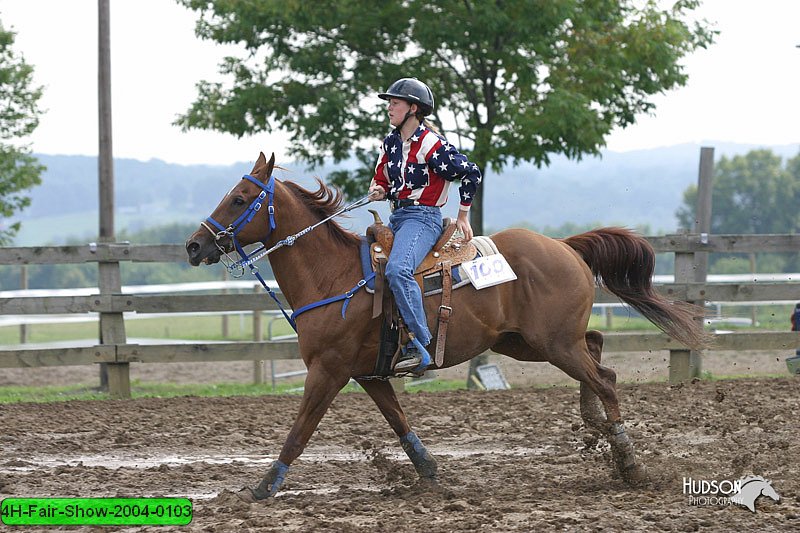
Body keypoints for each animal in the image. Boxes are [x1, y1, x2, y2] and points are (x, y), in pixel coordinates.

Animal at [183, 152, 708, 500]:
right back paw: (593, 427)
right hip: (527, 342)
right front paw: (431, 473)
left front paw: (262, 487)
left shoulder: (327, 372)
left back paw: (628, 462)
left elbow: (299, 430)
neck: (334, 276)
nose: (193, 246)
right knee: (597, 352)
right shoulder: (368, 373)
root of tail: (564, 246)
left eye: (240, 198)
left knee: (605, 378)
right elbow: (399, 422)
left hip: (553, 343)